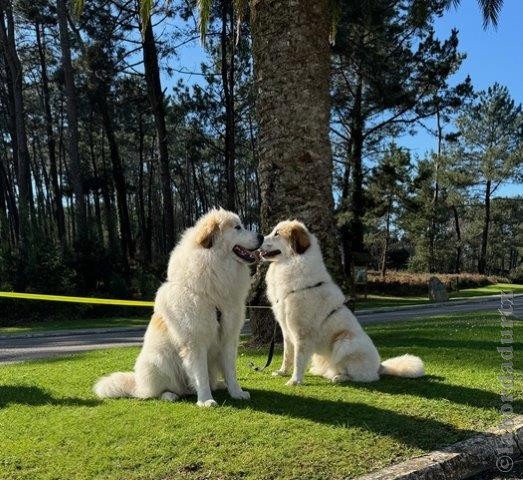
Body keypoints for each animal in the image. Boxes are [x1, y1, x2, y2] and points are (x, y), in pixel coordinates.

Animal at [93, 208, 262, 406]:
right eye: (237, 228)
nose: (261, 236)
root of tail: (137, 383)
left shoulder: (228, 338)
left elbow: (230, 371)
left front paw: (237, 393)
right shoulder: (195, 342)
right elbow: (200, 375)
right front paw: (205, 401)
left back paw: (218, 385)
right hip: (159, 362)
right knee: (154, 392)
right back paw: (170, 395)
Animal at [260, 221, 424, 386]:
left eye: (276, 234)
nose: (260, 238)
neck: (292, 263)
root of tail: (379, 366)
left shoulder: (302, 334)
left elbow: (298, 360)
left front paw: (294, 381)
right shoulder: (287, 332)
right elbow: (287, 355)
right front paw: (282, 372)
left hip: (345, 342)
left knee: (365, 376)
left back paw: (339, 377)